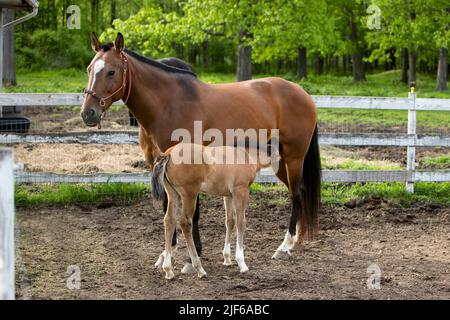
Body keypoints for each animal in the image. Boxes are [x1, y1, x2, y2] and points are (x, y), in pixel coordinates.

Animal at [151, 142, 276, 278]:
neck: (246, 154)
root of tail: (169, 153)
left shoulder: (228, 195)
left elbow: (230, 222)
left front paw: (227, 258)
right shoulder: (241, 191)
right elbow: (241, 223)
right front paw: (241, 263)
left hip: (173, 194)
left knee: (169, 220)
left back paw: (168, 270)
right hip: (190, 194)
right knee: (185, 223)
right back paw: (199, 268)